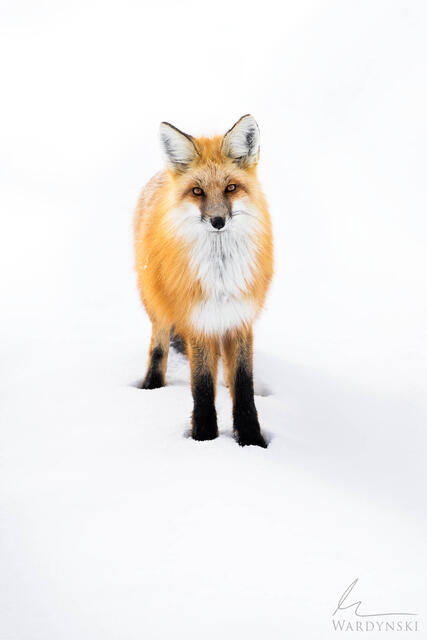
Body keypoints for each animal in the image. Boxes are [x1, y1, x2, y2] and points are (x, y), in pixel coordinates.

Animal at [133, 115, 273, 447]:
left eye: (231, 187)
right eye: (197, 192)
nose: (218, 221)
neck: (219, 276)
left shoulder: (239, 318)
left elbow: (244, 384)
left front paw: (251, 439)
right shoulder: (197, 319)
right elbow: (201, 384)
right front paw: (204, 439)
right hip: (156, 302)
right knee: (159, 346)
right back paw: (152, 386)